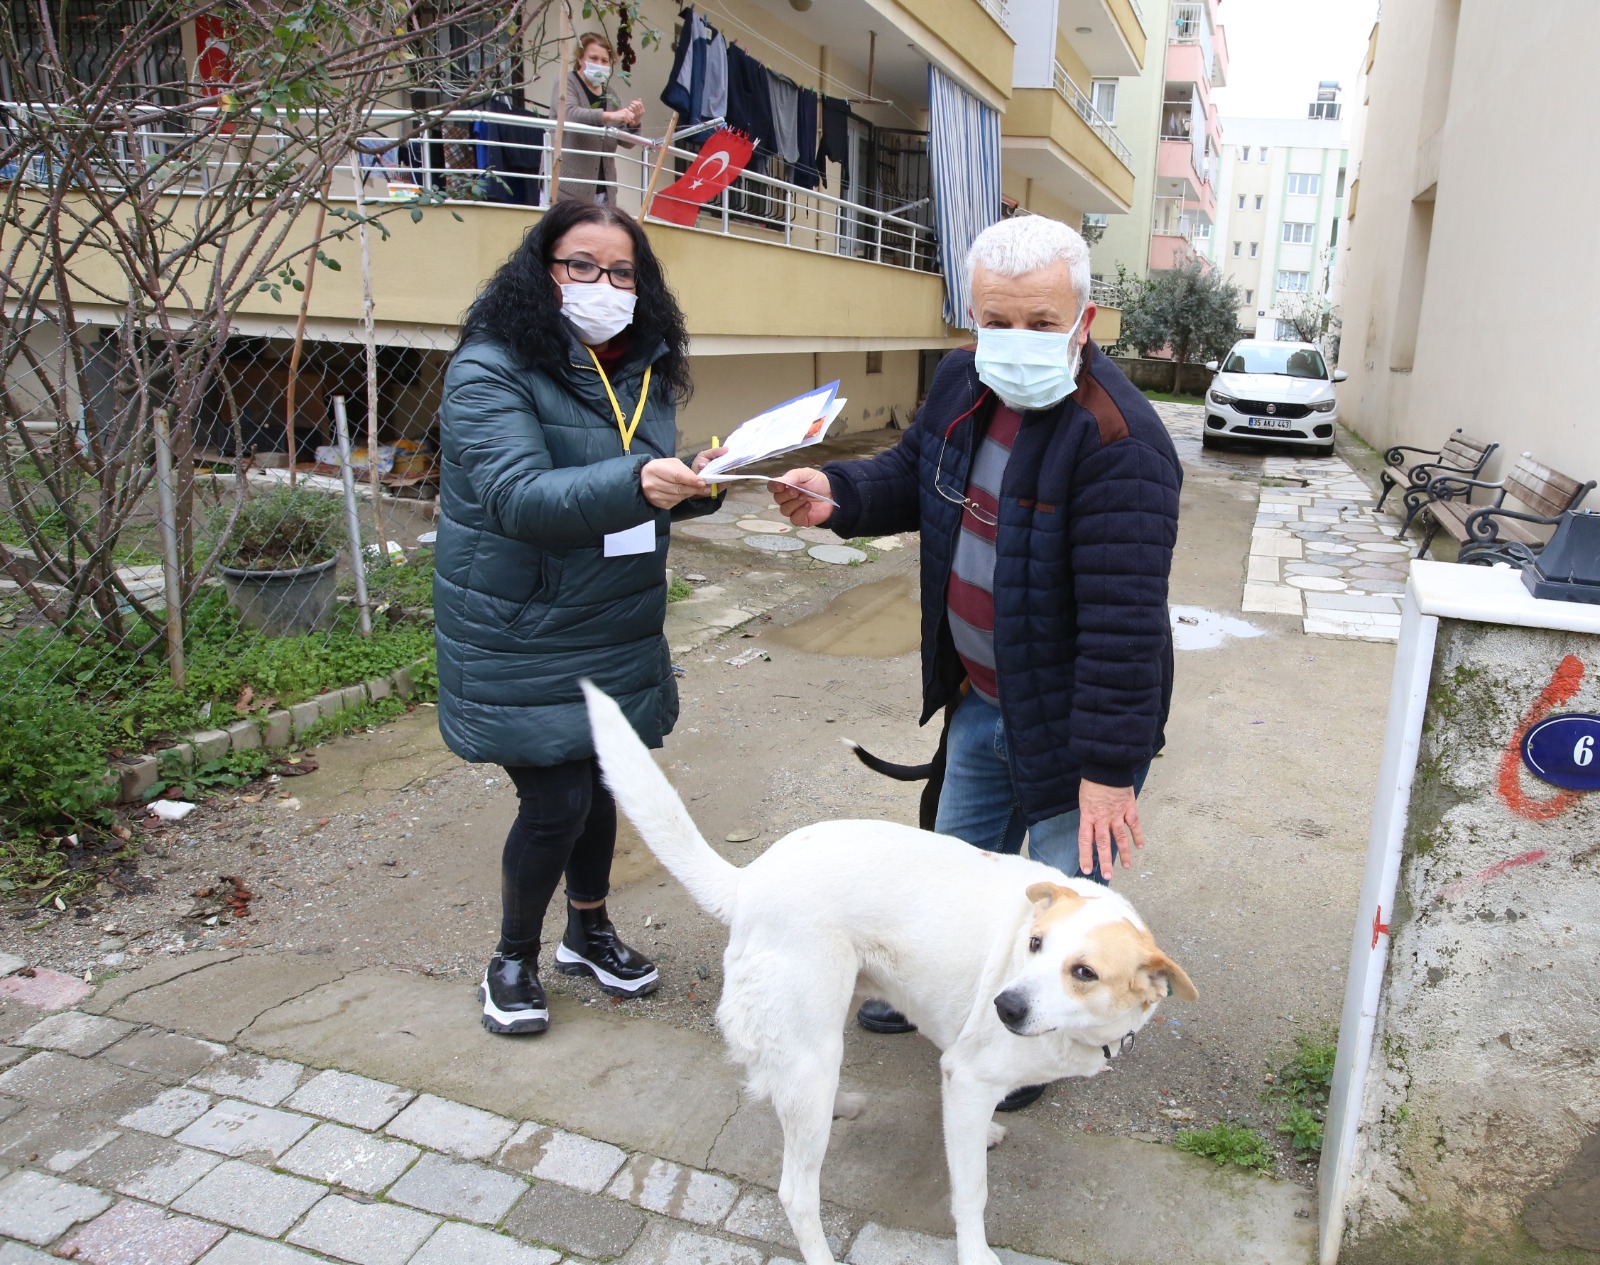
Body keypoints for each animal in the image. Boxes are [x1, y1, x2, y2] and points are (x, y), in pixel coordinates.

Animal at [582, 681, 1196, 1265]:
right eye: (1034, 945)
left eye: (1084, 972)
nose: (1004, 1006)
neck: (1080, 1030)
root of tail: (749, 879)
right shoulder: (966, 1076)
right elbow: (971, 1192)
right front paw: (974, 1252)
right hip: (812, 1045)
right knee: (795, 1191)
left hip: (825, 1025)